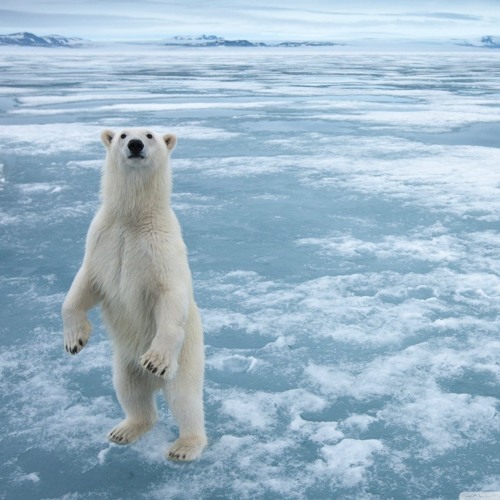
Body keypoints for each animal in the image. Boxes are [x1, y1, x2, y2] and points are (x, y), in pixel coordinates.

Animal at [62, 128, 207, 460]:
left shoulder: (161, 248)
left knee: (184, 398)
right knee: (129, 391)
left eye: (150, 134)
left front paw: (155, 360)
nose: (135, 144)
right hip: (124, 362)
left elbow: (170, 295)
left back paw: (185, 446)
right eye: (122, 134)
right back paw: (124, 429)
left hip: (187, 357)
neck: (132, 219)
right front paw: (75, 340)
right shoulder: (102, 239)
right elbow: (84, 285)